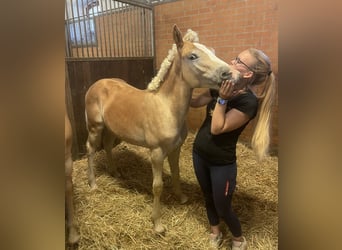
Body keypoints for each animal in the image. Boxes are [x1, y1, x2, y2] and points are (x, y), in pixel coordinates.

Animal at [84, 24, 239, 233]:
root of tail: (97, 83)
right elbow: (157, 186)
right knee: (90, 149)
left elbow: (176, 172)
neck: (166, 107)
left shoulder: (175, 149)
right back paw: (93, 184)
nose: (228, 74)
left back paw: (115, 172)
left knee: (108, 145)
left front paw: (181, 197)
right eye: (192, 56)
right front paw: (157, 224)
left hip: (111, 128)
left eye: (212, 51)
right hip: (95, 127)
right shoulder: (156, 153)